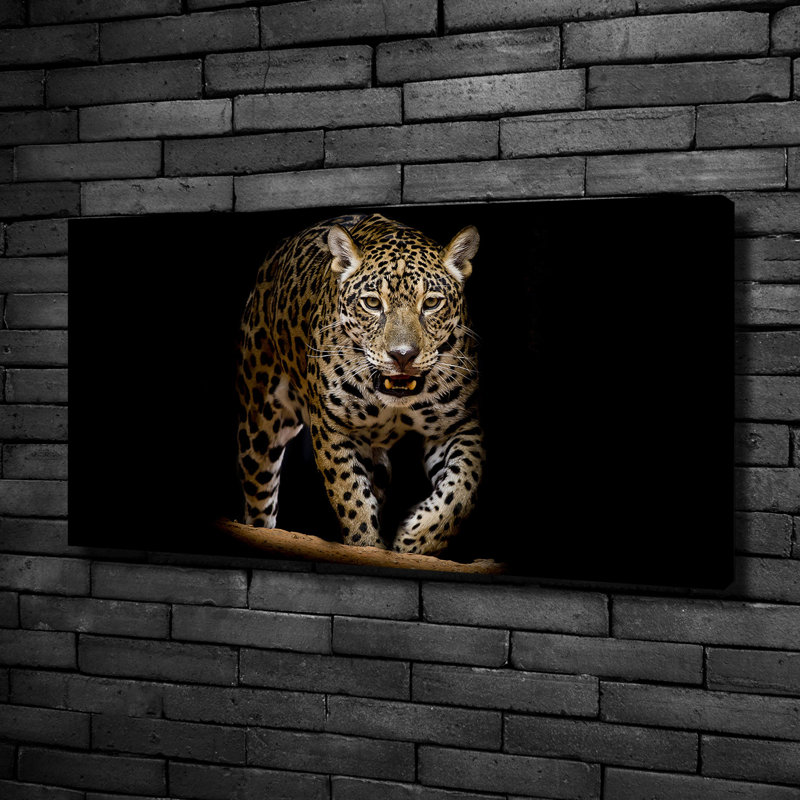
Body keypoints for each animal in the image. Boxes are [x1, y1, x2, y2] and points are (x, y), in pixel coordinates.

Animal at [236, 212, 485, 556]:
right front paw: (366, 545)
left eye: (432, 303)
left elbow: (463, 487)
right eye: (372, 303)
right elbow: (350, 497)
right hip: (260, 422)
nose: (402, 355)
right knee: (259, 497)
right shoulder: (333, 428)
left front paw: (416, 538)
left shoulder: (457, 425)